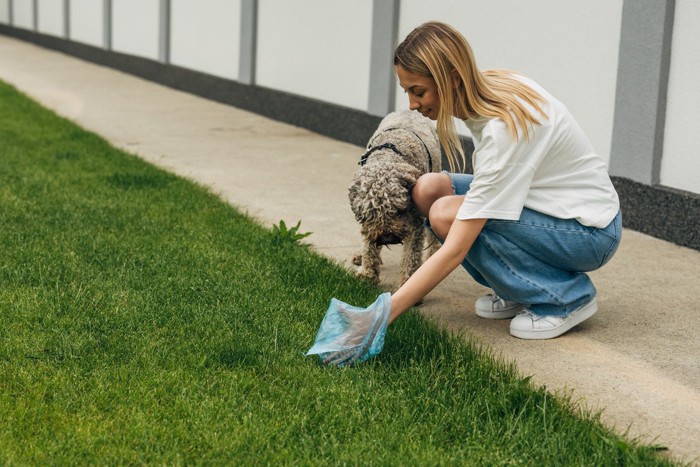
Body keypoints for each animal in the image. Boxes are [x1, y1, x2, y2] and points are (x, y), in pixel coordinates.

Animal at [350, 111, 442, 288]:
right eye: (369, 214)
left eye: (398, 210)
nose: (386, 237)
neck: (388, 156)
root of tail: (410, 111)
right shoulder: (369, 226)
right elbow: (368, 245)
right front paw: (367, 275)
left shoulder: (415, 224)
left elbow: (411, 257)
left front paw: (407, 283)